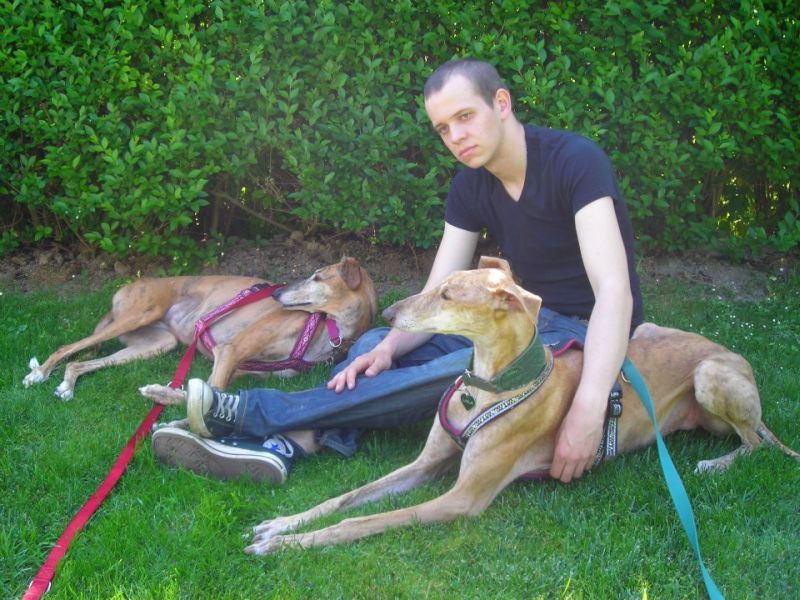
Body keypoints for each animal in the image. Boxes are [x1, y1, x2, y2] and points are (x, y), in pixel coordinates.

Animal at [22, 256, 377, 402]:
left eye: (318, 277)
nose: (276, 294)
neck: (325, 329)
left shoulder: (244, 370)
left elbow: (210, 393)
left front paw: (164, 393)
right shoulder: (229, 351)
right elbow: (211, 392)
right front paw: (163, 395)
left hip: (156, 343)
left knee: (78, 362)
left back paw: (66, 385)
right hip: (139, 313)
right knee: (66, 348)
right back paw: (39, 373)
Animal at [244, 256, 799, 555]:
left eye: (448, 294)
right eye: (435, 286)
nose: (389, 313)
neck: (488, 387)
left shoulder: (461, 499)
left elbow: (362, 522)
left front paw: (286, 545)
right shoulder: (423, 466)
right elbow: (345, 501)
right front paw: (282, 524)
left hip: (710, 376)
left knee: (756, 442)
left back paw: (716, 464)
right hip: (648, 335)